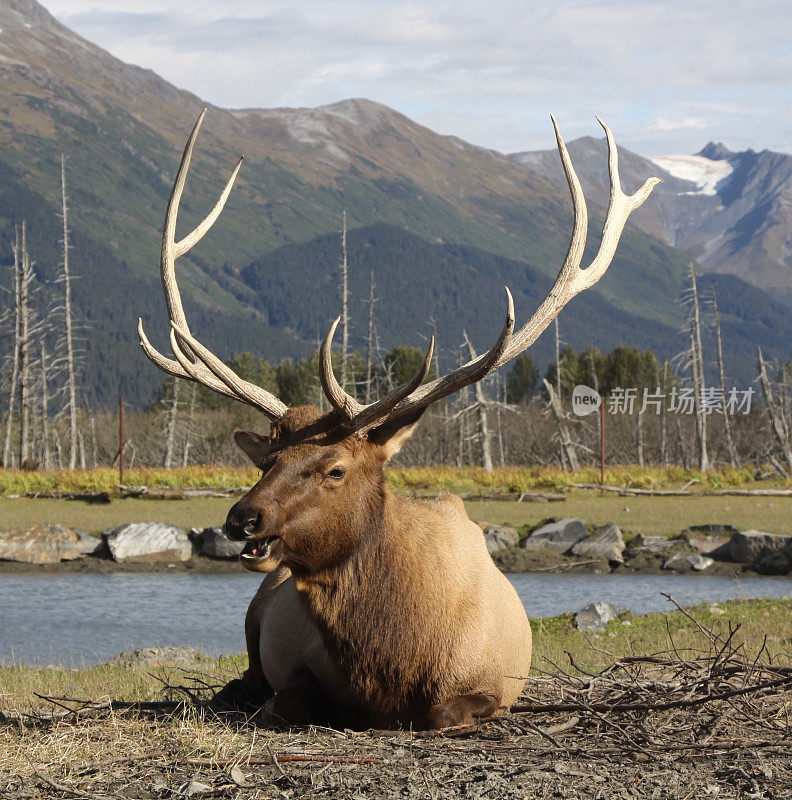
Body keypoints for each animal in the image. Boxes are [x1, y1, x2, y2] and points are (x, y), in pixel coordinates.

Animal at [139, 112, 660, 732]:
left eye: (335, 469)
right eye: (267, 462)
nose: (242, 518)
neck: (395, 653)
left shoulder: (492, 685)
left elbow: (440, 712)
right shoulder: (299, 669)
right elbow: (289, 699)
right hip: (256, 611)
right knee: (242, 675)